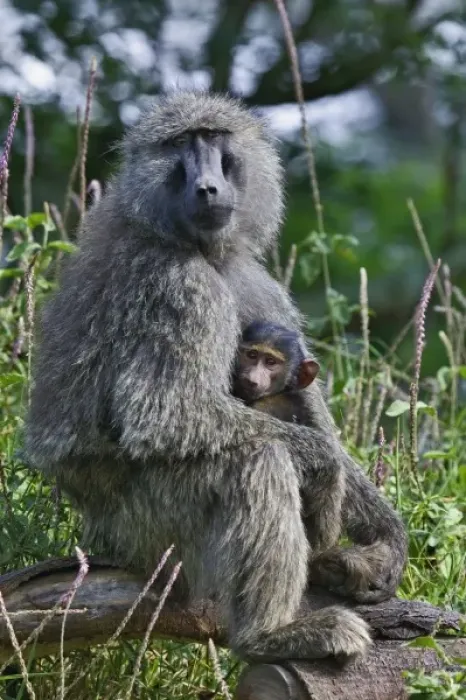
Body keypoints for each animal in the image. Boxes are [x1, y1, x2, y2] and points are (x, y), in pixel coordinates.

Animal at [23, 91, 407, 664]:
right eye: (181, 144)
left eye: (215, 140)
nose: (208, 186)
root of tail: (103, 540)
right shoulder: (176, 289)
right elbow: (166, 413)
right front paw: (325, 466)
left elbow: (307, 400)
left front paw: (385, 543)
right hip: (149, 531)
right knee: (257, 458)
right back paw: (270, 636)